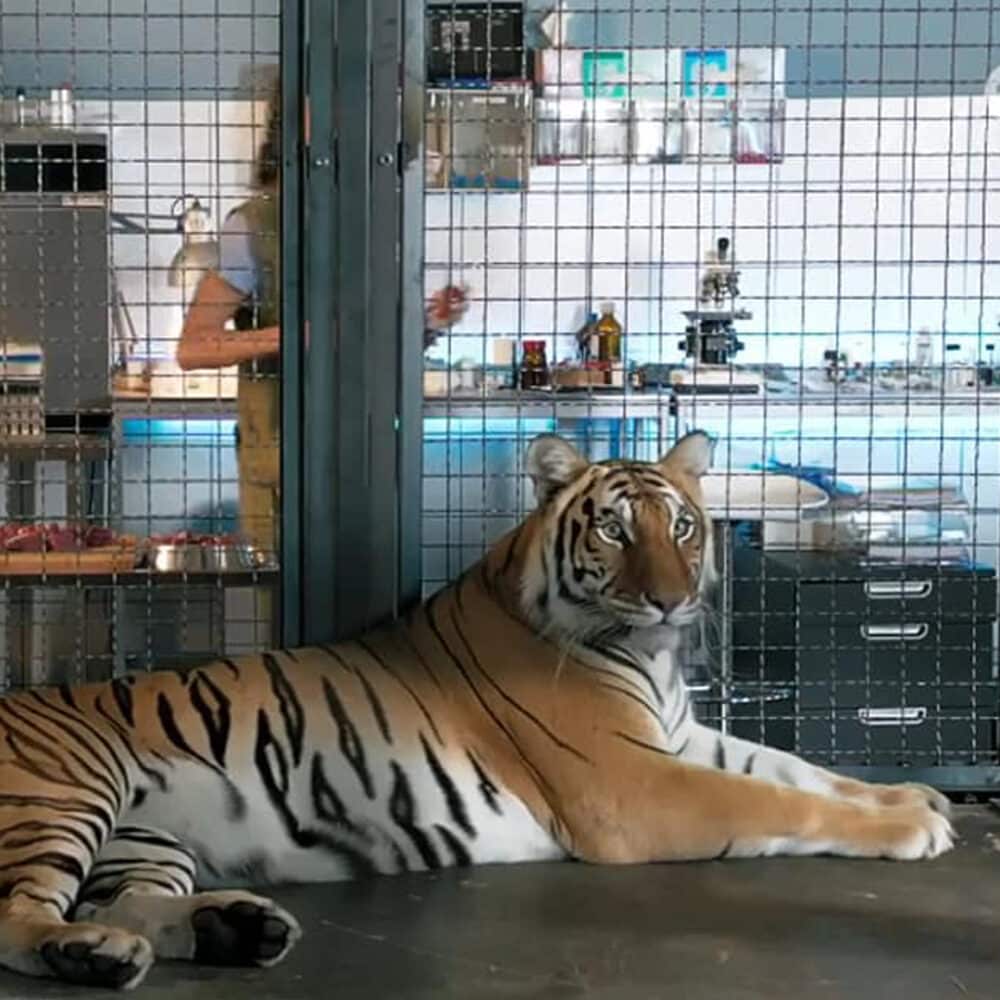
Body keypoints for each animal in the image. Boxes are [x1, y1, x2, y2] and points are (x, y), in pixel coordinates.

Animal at [0, 430, 953, 990]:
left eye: (683, 527)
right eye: (615, 530)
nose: (674, 599)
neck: (649, 659)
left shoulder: (679, 737)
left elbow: (799, 767)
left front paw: (917, 798)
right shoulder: (632, 785)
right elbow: (775, 800)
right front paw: (911, 828)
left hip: (146, 838)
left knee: (120, 903)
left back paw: (226, 929)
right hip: (65, 795)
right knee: (17, 916)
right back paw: (90, 954)